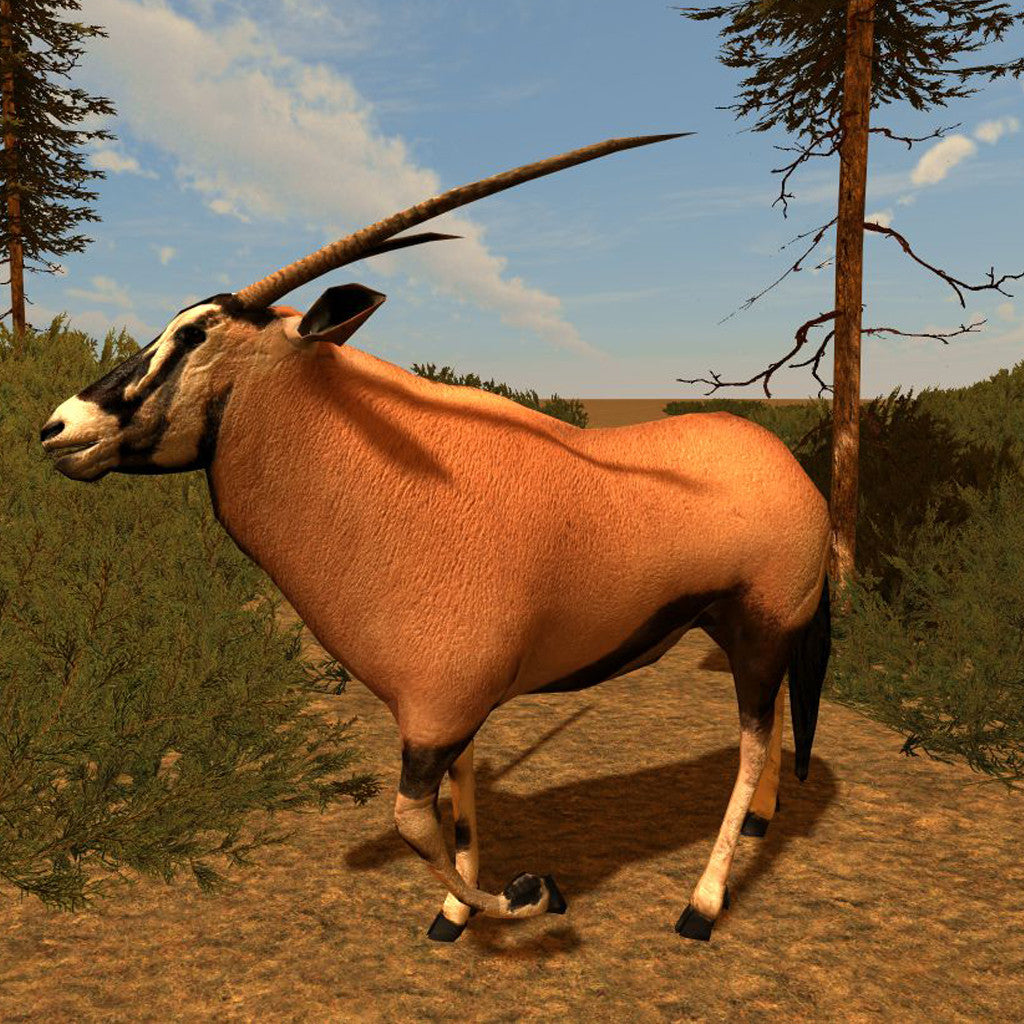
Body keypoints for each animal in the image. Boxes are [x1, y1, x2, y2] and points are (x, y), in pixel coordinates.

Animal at [41, 133, 831, 943]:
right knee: (770, 726)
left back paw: (701, 905)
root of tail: (791, 469)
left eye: (194, 334)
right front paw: (454, 916)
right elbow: (458, 804)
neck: (394, 471)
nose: (58, 428)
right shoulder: (451, 709)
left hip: (762, 627)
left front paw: (534, 894)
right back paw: (763, 822)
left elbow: (414, 822)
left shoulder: (435, 711)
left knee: (750, 741)